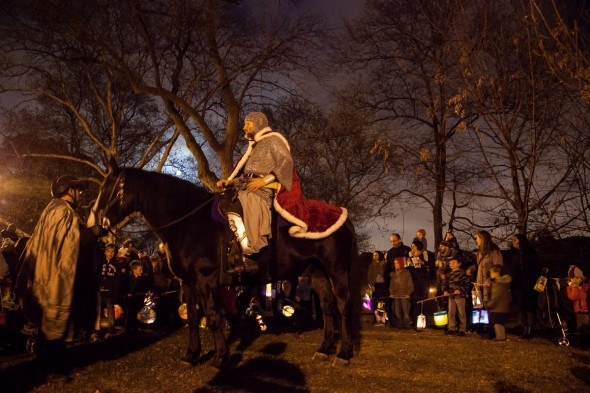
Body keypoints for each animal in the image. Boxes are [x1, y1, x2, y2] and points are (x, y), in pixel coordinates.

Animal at [90, 165, 364, 368]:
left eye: (109, 188)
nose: (93, 224)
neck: (188, 221)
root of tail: (344, 216)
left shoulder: (206, 280)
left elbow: (213, 317)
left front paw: (220, 358)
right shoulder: (188, 283)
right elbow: (192, 318)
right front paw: (191, 356)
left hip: (336, 270)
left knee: (342, 304)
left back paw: (344, 354)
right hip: (317, 271)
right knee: (328, 306)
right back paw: (324, 349)